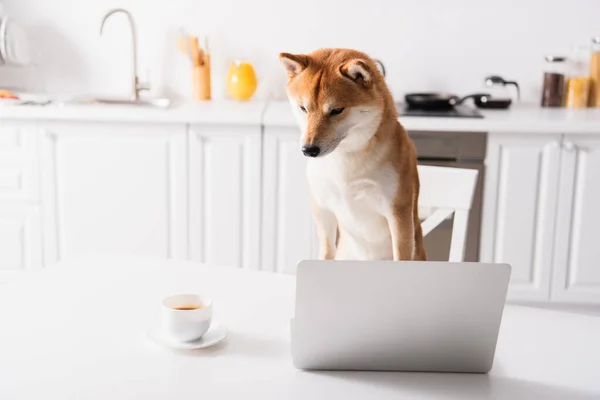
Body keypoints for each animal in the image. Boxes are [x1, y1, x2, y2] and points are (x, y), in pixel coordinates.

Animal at [280, 47, 426, 262]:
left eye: (336, 110)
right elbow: (326, 251)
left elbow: (401, 254)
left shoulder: (398, 212)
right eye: (303, 108)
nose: (308, 149)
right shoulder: (322, 209)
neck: (345, 160)